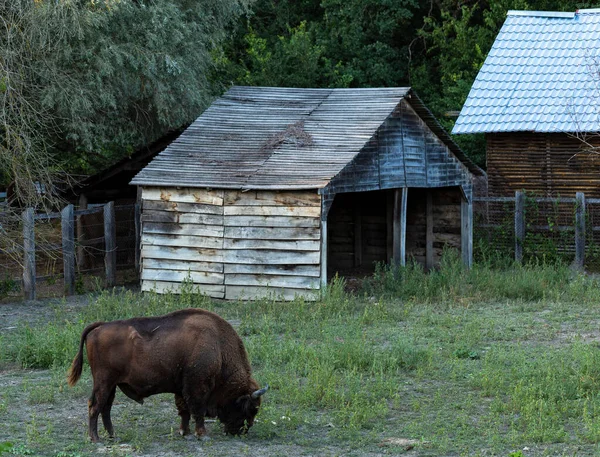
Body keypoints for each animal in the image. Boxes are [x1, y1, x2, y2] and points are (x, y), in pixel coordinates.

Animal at [66, 306, 270, 442]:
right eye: (251, 408)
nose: (242, 431)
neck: (218, 348)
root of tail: (99, 327)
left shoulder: (181, 388)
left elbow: (184, 411)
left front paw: (184, 432)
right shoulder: (197, 387)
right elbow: (197, 410)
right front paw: (202, 434)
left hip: (112, 385)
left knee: (105, 408)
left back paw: (111, 435)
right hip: (104, 382)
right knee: (95, 406)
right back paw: (95, 439)